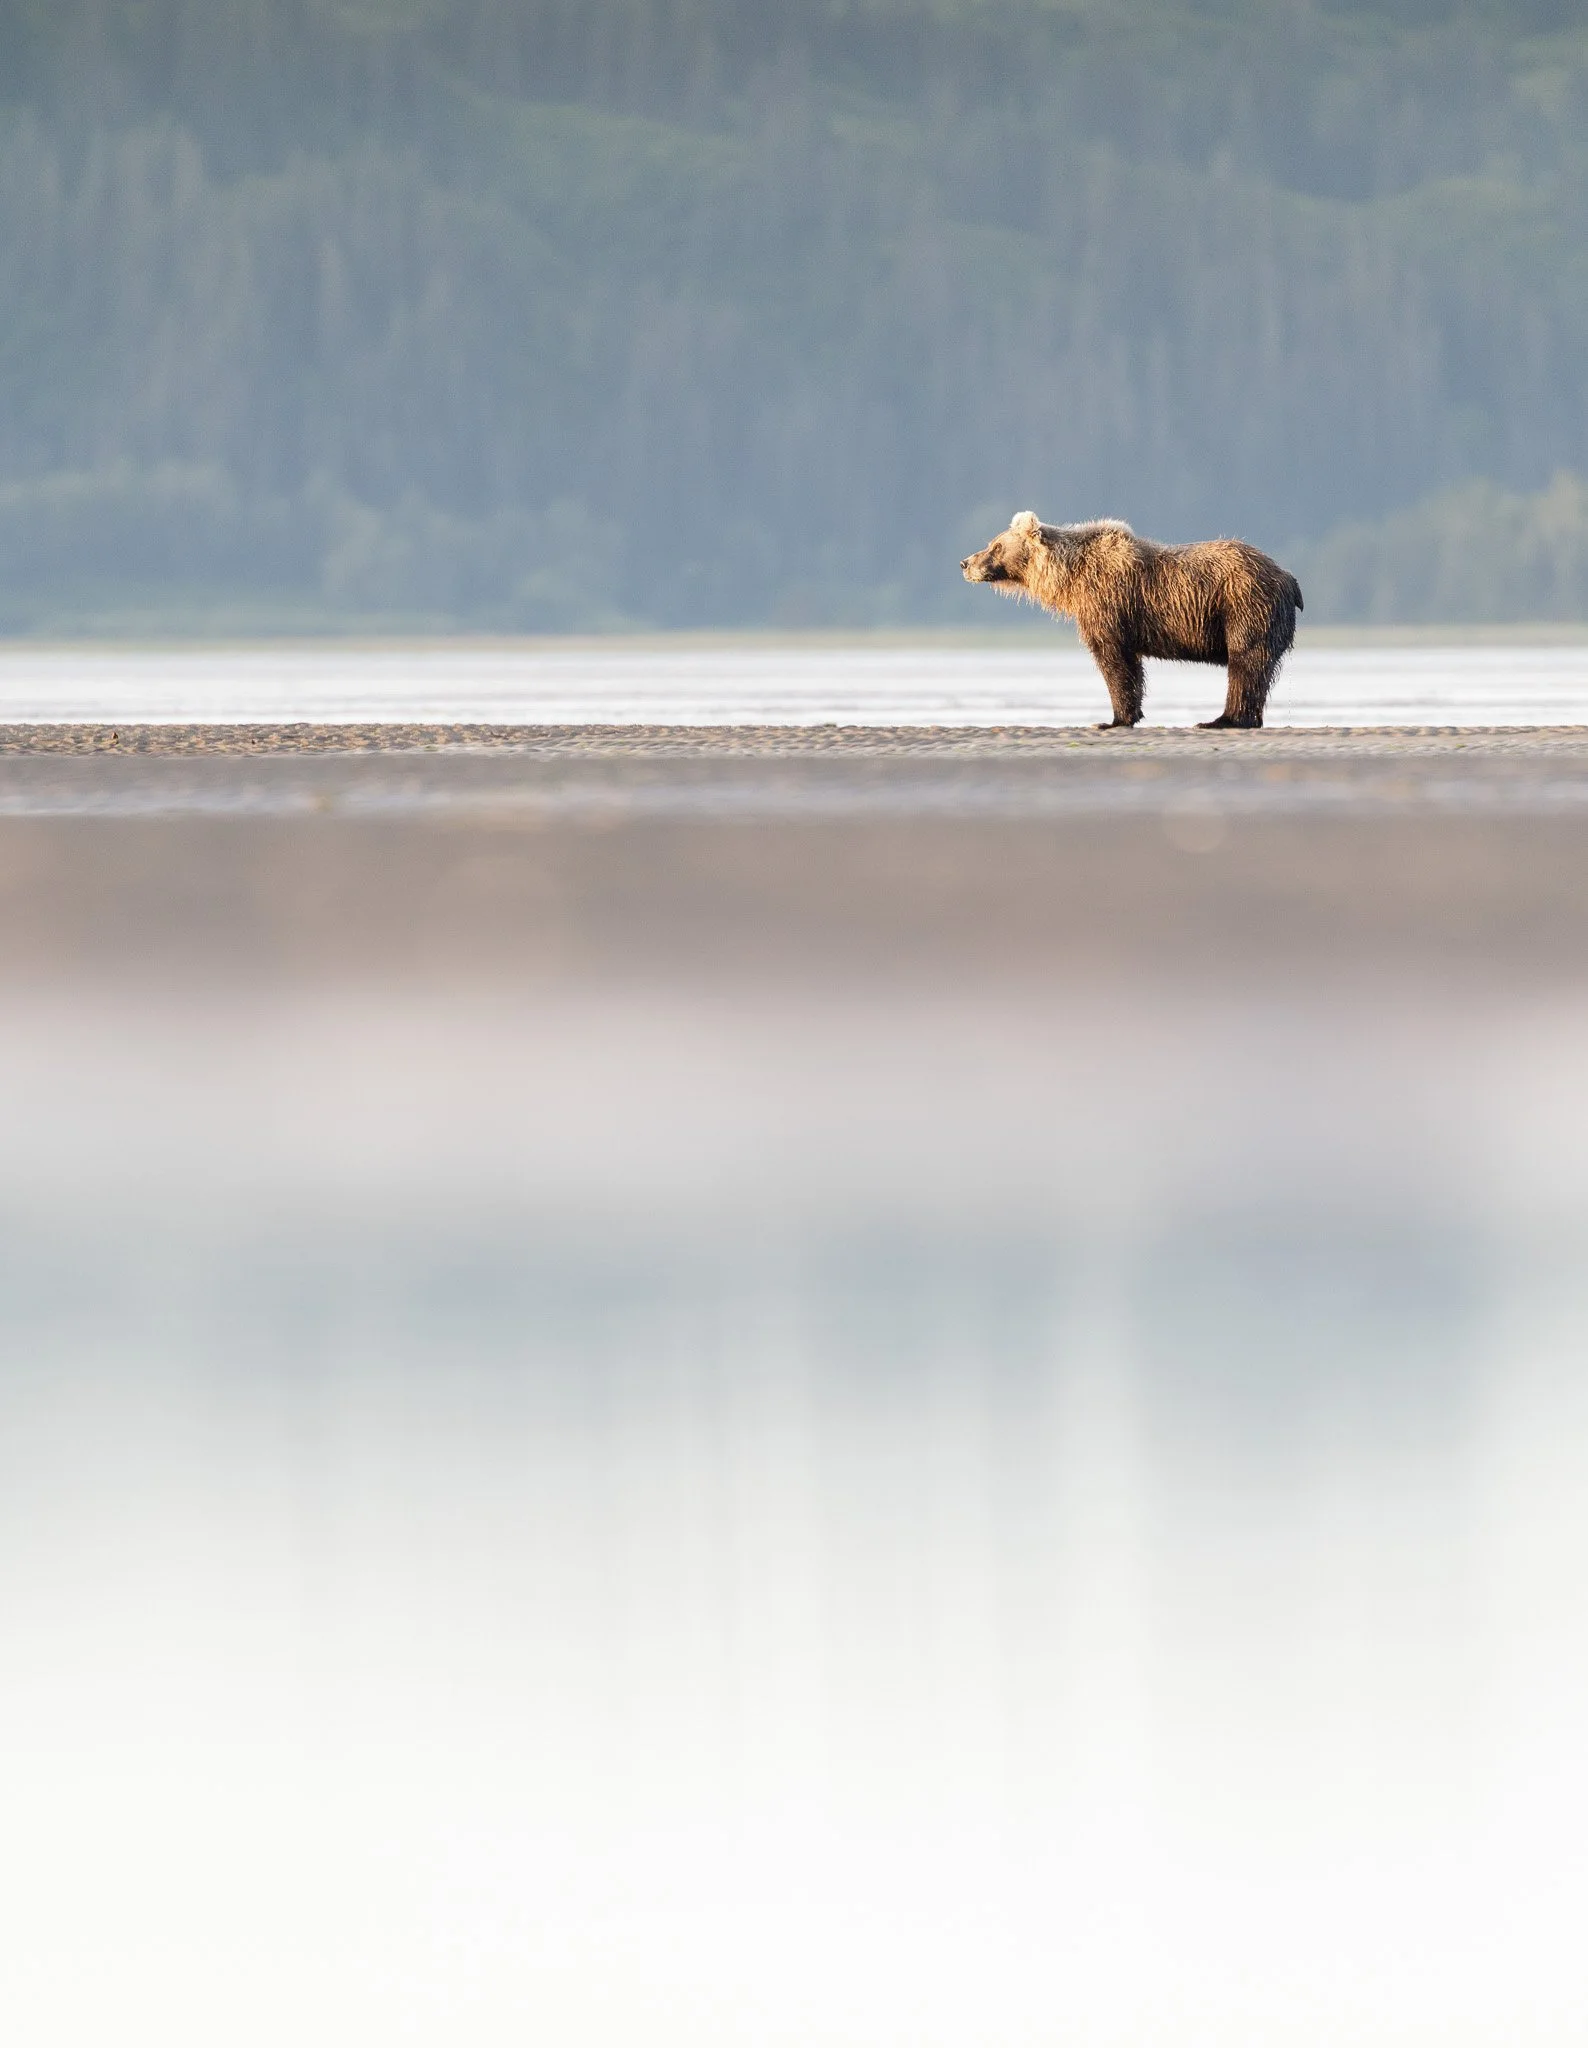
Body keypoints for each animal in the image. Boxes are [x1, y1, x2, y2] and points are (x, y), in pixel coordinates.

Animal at [961, 512, 1303, 729]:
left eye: (995, 545)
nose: (965, 563)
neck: (1071, 577)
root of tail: (1287, 576)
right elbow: (1130, 666)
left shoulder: (1109, 606)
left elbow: (1115, 661)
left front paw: (1112, 719)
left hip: (1242, 603)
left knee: (1245, 661)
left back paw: (1222, 720)